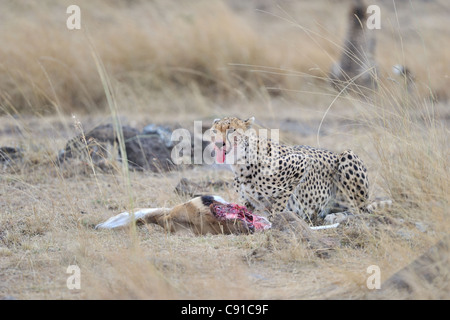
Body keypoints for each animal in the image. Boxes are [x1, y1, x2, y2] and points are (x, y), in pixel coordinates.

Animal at [211, 116, 380, 224]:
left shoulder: (302, 162)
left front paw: (275, 219)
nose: (219, 143)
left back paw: (336, 217)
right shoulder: (247, 201)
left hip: (348, 155)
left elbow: (280, 203)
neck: (240, 163)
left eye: (231, 130)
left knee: (360, 211)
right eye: (214, 131)